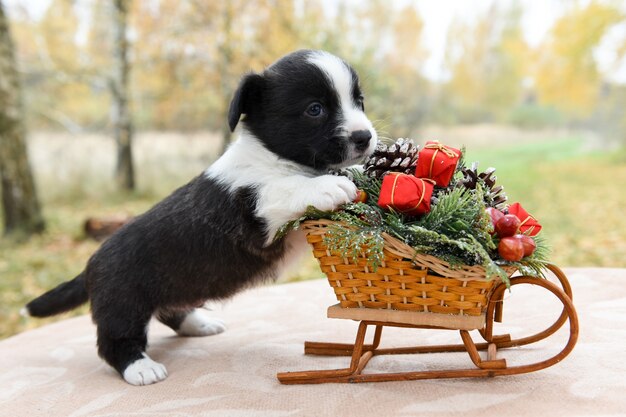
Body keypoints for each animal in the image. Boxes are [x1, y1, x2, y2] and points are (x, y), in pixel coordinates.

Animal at [24, 50, 376, 386]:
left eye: (359, 101)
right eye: (315, 109)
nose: (365, 137)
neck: (273, 156)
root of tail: (89, 265)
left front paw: (363, 171)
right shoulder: (256, 214)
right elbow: (284, 188)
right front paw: (328, 185)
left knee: (170, 311)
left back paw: (198, 323)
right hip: (123, 305)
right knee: (114, 343)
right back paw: (141, 368)